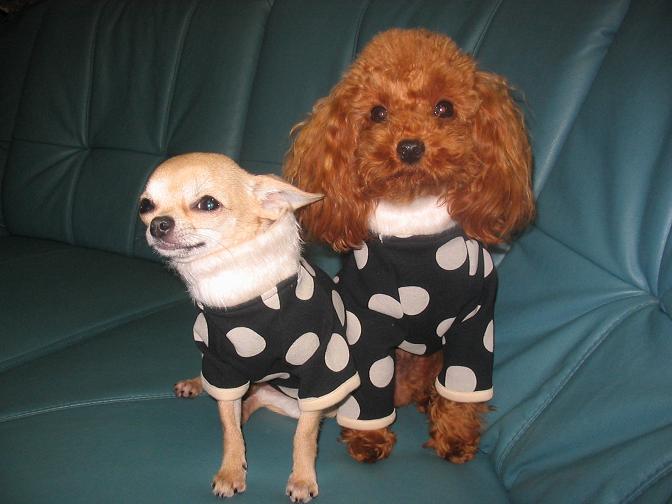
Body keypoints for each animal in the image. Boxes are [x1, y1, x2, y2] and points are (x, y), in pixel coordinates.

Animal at [139, 153, 361, 501]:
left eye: (208, 204)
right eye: (145, 206)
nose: (158, 223)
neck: (237, 287)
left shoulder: (321, 373)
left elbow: (304, 437)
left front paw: (302, 477)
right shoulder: (222, 367)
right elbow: (228, 430)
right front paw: (231, 469)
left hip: (302, 402)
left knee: (260, 401)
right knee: (238, 401)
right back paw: (200, 387)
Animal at [284, 29, 535, 464]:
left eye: (444, 108)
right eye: (378, 113)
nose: (410, 147)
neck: (416, 232)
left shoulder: (475, 324)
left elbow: (465, 388)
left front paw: (455, 435)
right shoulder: (366, 327)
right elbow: (368, 393)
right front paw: (368, 437)